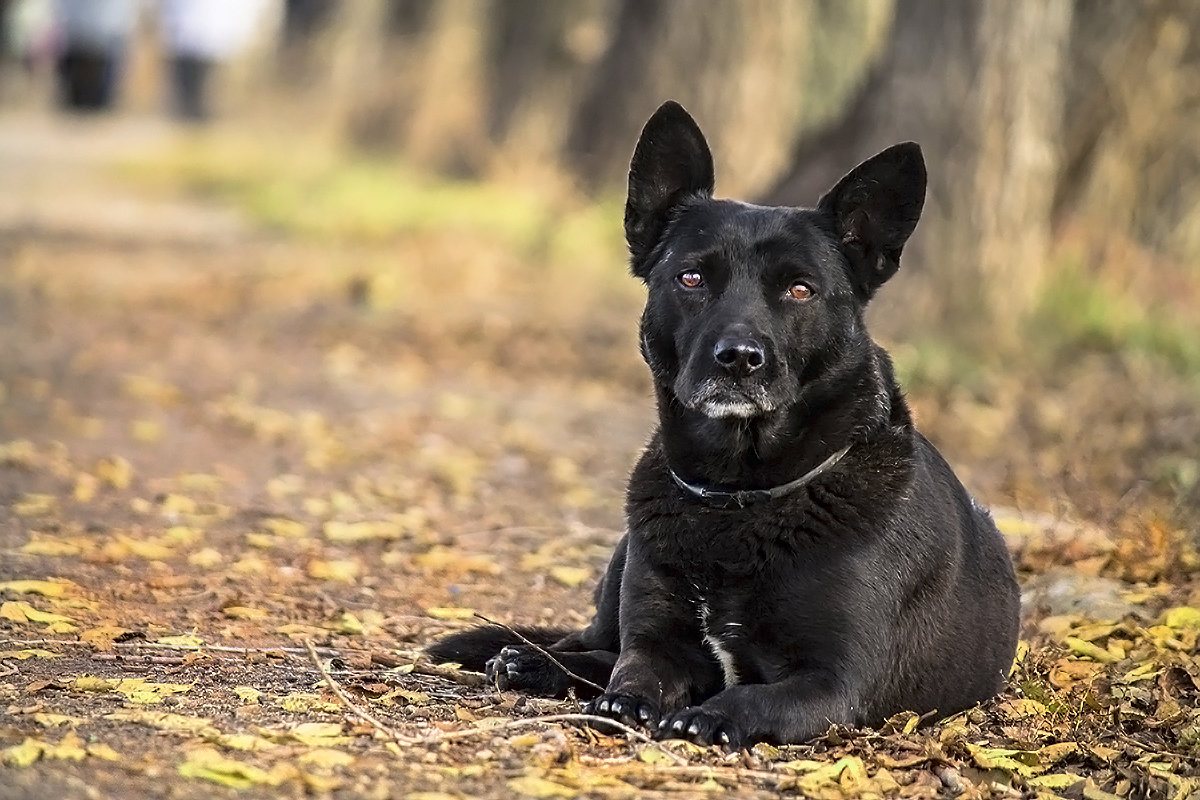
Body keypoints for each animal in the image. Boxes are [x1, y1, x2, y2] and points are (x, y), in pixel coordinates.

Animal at [427, 101, 1017, 753]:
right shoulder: (656, 640)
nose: (738, 358)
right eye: (691, 278)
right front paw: (626, 702)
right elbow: (633, 669)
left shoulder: (836, 683)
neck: (738, 498)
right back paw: (533, 661)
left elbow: (755, 696)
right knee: (590, 647)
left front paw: (710, 715)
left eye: (800, 289)